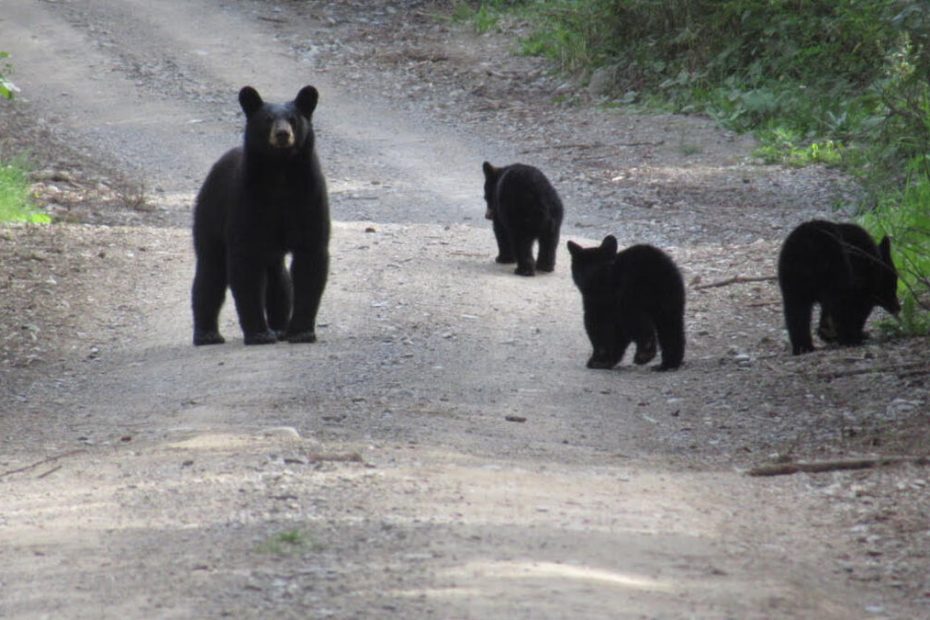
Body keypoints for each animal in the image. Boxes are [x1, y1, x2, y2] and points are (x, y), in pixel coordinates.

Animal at [192, 85, 330, 346]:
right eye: (267, 119)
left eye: (293, 119)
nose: (283, 134)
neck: (280, 172)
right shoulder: (248, 202)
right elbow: (245, 263)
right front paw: (258, 334)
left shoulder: (309, 197)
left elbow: (310, 256)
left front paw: (301, 332)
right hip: (209, 215)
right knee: (210, 271)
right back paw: (207, 334)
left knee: (278, 277)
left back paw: (279, 327)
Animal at [560, 235, 684, 370]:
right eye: (582, 267)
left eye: (594, 266)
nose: (588, 276)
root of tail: (653, 264)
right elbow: (617, 335)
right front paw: (608, 360)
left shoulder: (598, 305)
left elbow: (598, 330)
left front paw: (598, 360)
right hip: (670, 297)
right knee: (671, 328)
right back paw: (667, 364)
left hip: (630, 296)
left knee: (637, 321)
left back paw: (645, 353)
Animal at [776, 219, 900, 354]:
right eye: (893, 284)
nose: (898, 307)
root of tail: (807, 245)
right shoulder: (861, 286)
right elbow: (858, 309)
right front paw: (856, 334)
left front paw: (826, 333)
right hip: (837, 269)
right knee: (838, 305)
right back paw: (848, 339)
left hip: (793, 282)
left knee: (796, 311)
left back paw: (803, 347)